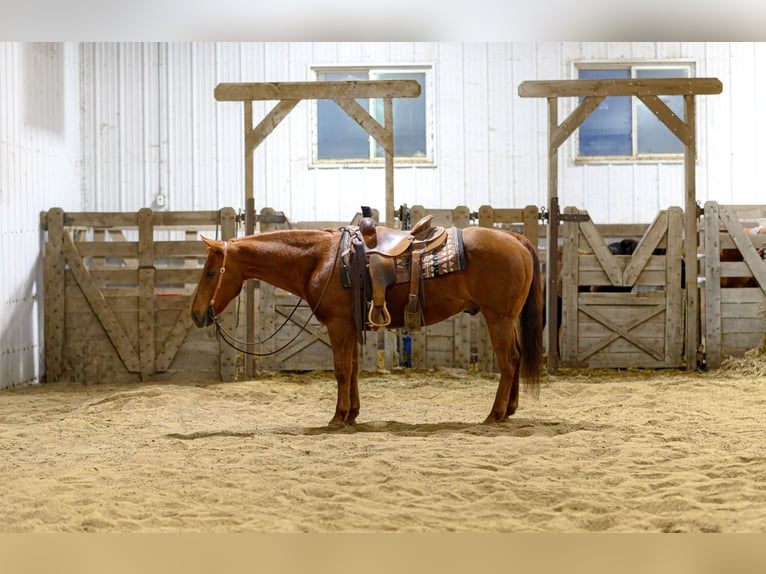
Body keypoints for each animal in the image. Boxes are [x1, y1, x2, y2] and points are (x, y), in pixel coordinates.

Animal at [190, 225, 543, 427]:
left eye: (210, 272)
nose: (195, 314)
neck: (323, 259)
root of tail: (516, 238)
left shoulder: (337, 325)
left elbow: (342, 370)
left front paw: (337, 416)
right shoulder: (349, 325)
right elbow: (355, 368)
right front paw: (353, 413)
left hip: (497, 317)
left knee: (508, 361)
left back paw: (494, 414)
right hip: (506, 318)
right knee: (516, 357)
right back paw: (509, 410)